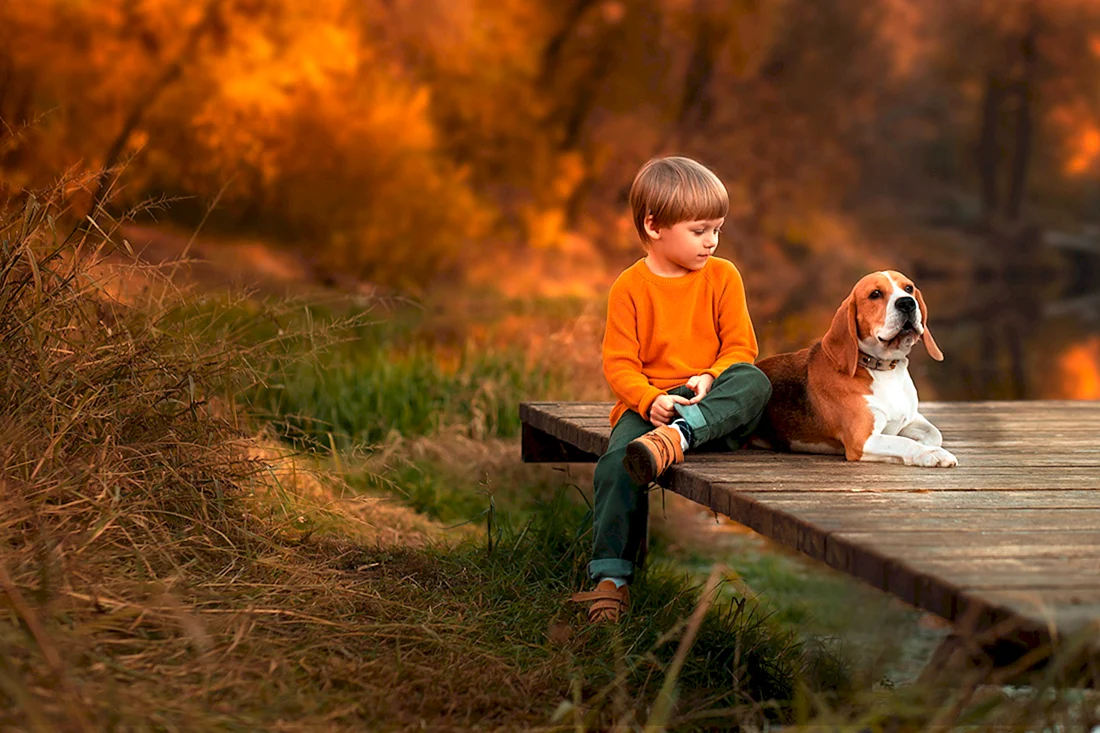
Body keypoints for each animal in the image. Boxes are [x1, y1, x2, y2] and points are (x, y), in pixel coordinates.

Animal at [752, 270, 959, 464]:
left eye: (909, 288)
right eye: (875, 294)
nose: (907, 303)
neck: (884, 371)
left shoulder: (910, 418)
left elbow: (935, 434)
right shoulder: (862, 440)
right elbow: (904, 442)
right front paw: (932, 454)